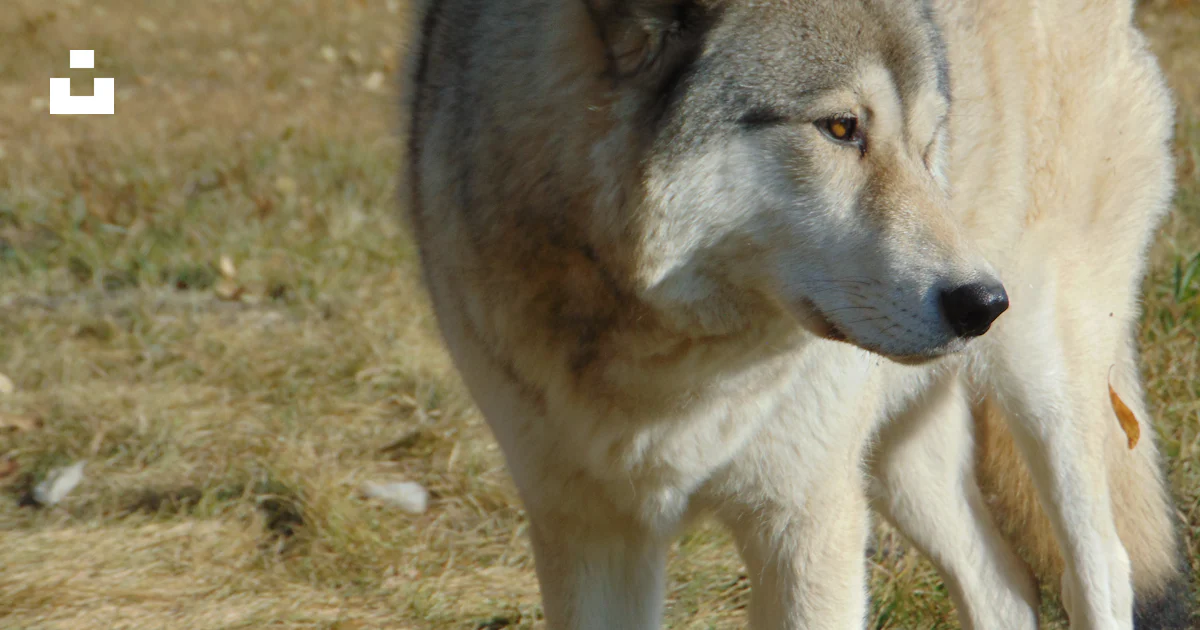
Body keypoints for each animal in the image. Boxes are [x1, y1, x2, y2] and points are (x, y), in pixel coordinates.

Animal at [402, 0, 1190, 628]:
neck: (669, 360)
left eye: (927, 141)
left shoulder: (807, 522)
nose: (982, 303)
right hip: (897, 461)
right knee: (1006, 587)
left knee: (1102, 567)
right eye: (840, 128)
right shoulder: (590, 530)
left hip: (1040, 381)